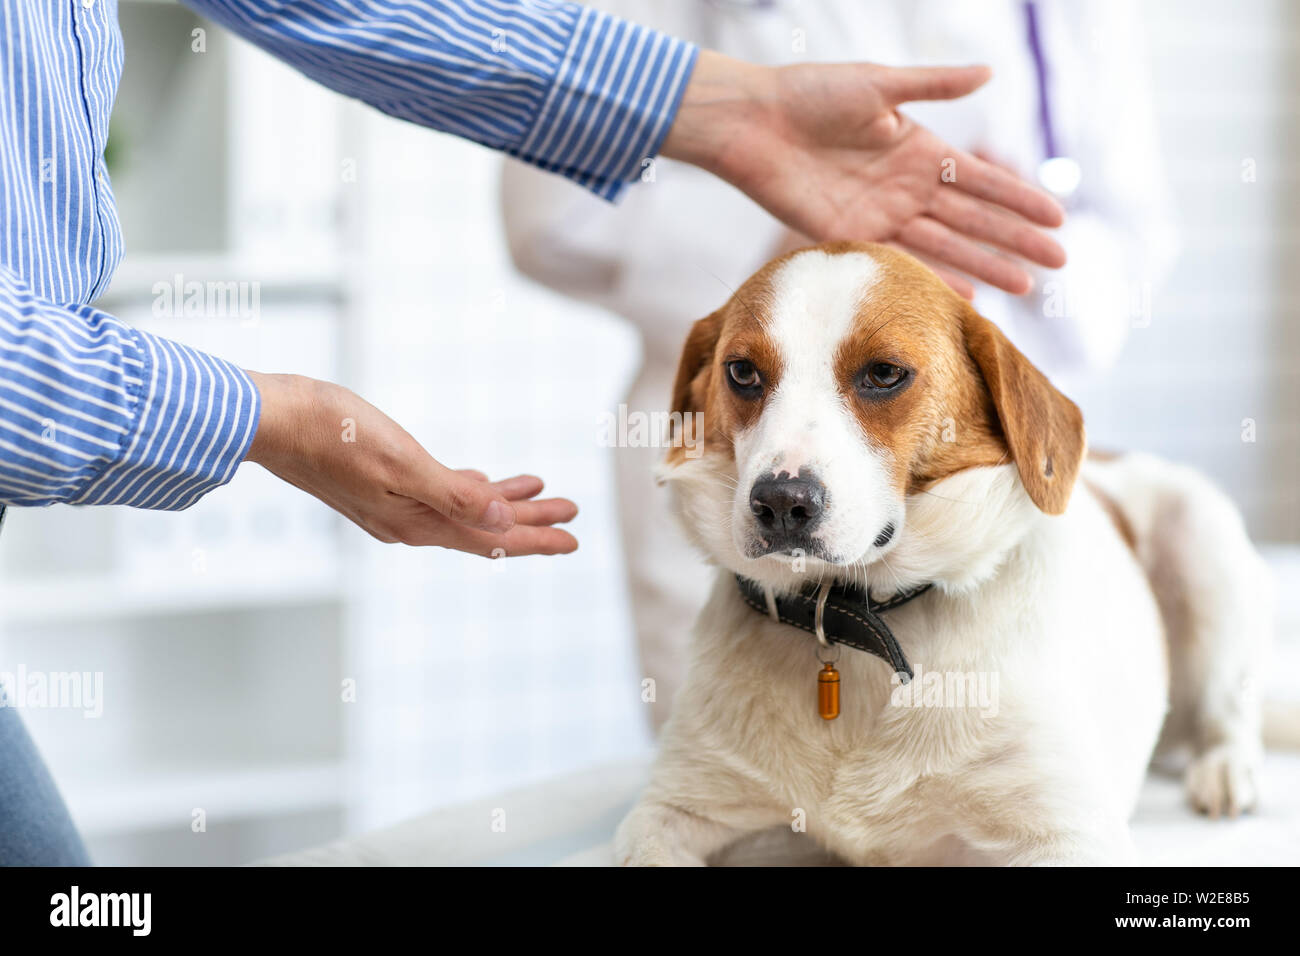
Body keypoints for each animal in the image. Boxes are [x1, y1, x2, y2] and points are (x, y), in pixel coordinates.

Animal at [616, 240, 1268, 868]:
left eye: (883, 373)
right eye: (743, 372)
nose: (780, 502)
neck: (851, 622)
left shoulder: (1068, 835)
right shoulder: (671, 811)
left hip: (1202, 538)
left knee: (1228, 709)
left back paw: (1227, 770)